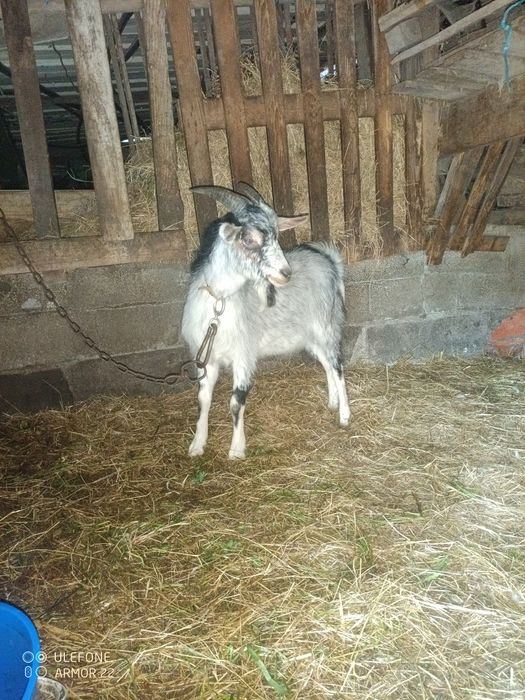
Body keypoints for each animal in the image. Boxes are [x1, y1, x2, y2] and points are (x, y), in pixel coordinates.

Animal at [181, 184, 350, 459]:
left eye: (277, 237)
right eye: (248, 239)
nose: (285, 273)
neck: (220, 302)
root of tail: (329, 261)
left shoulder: (243, 355)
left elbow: (236, 402)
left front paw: (236, 449)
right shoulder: (209, 357)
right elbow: (203, 400)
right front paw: (197, 444)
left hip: (326, 326)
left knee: (337, 366)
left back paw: (345, 415)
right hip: (310, 337)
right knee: (326, 364)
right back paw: (333, 402)